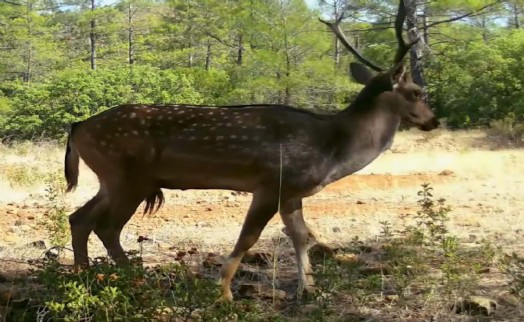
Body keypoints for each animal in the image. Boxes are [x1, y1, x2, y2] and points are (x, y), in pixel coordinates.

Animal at [62, 0, 438, 302]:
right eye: (417, 92)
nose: (433, 121)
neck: (332, 147)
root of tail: (77, 127)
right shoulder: (271, 183)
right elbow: (249, 237)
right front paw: (224, 293)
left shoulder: (292, 191)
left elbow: (301, 236)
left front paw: (309, 289)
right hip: (129, 176)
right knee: (106, 227)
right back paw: (133, 279)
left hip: (113, 179)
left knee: (79, 218)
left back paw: (83, 277)